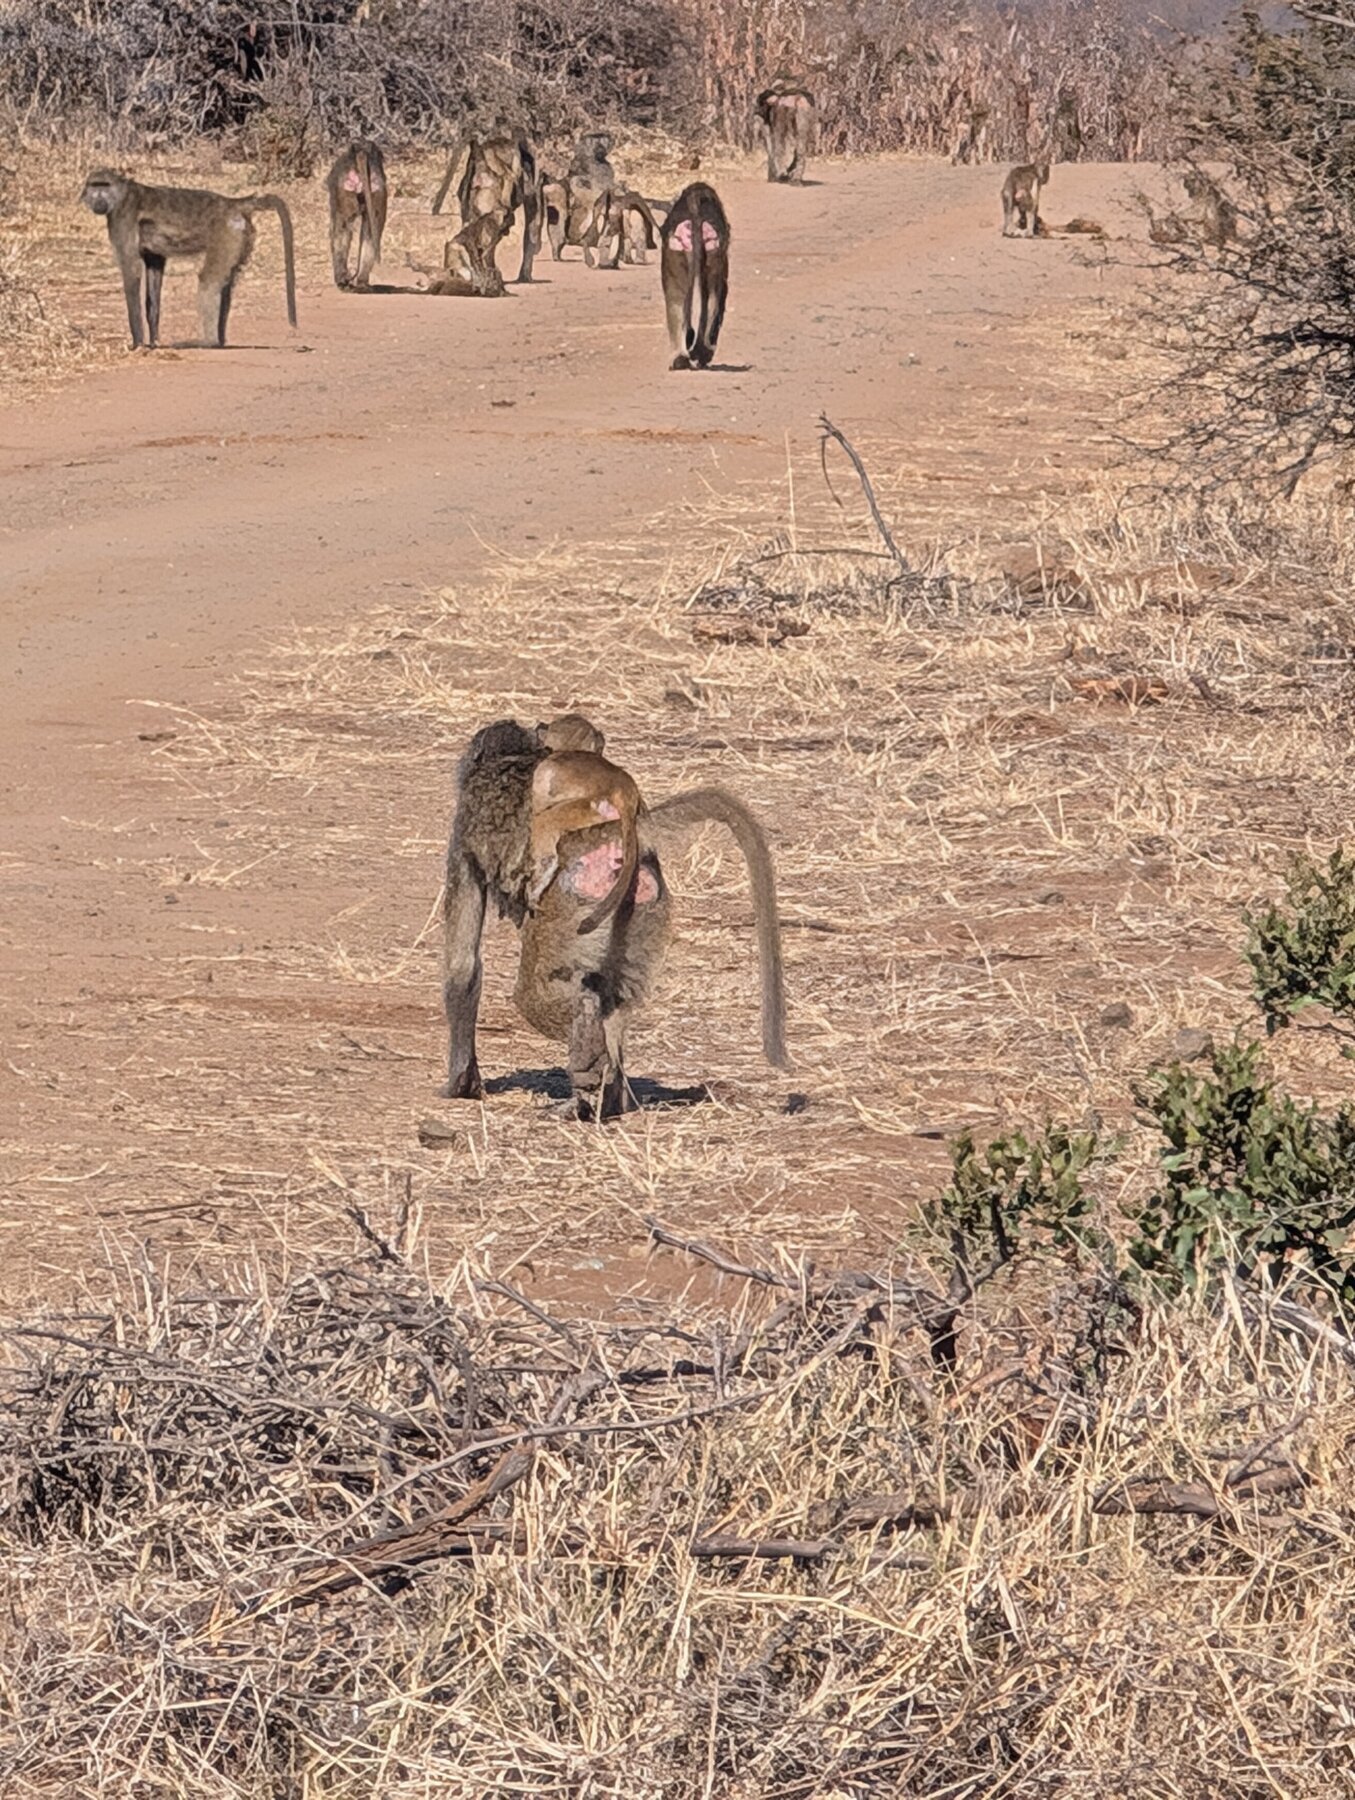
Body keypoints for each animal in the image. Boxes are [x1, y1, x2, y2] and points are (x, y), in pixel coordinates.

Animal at [79, 169, 296, 350]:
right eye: (94, 186)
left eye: (104, 186)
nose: (99, 200)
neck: (122, 195)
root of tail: (232, 203)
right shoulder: (154, 256)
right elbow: (154, 279)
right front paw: (154, 342)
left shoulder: (122, 220)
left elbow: (131, 272)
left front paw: (137, 343)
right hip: (241, 237)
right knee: (226, 284)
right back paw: (220, 340)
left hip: (226, 233)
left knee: (209, 283)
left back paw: (209, 342)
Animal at [326, 141, 387, 290]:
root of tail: (362, 152)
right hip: (375, 187)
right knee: (370, 232)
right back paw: (361, 281)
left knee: (341, 229)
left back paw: (342, 279)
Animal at [439, 718, 788, 1116]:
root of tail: (631, 817)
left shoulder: (462, 839)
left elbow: (463, 969)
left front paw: (460, 1085)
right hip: (642, 905)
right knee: (615, 997)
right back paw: (610, 1098)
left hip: (571, 902)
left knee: (546, 992)